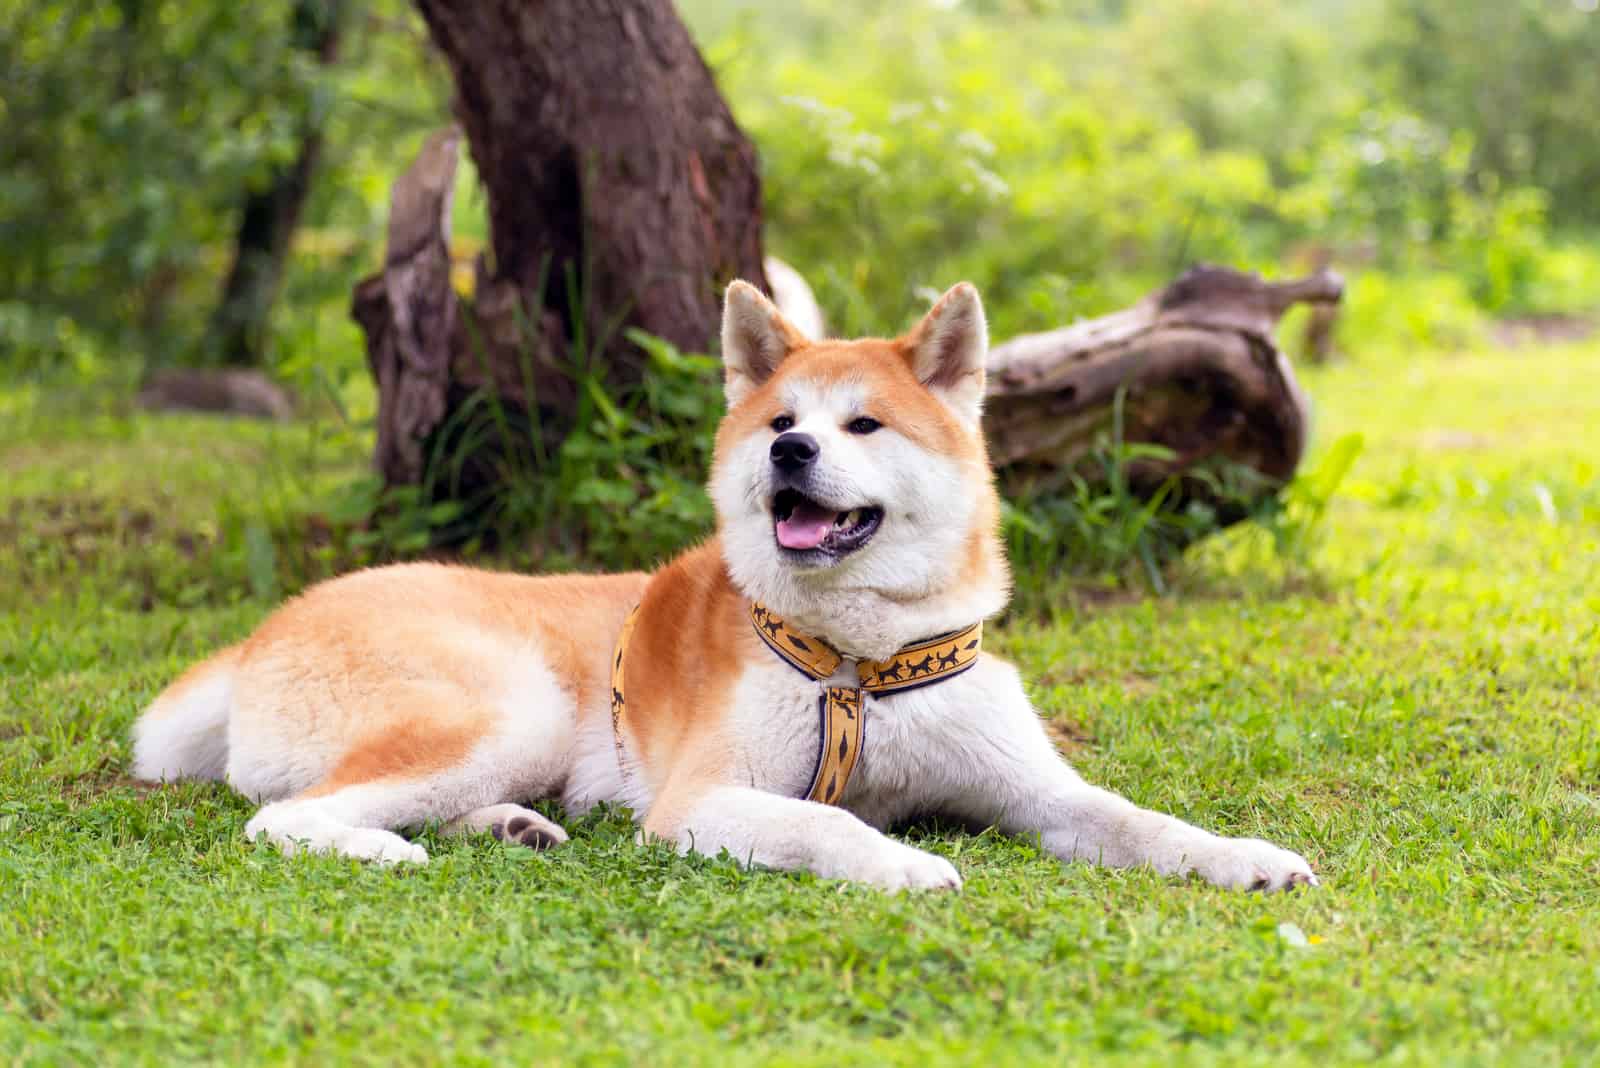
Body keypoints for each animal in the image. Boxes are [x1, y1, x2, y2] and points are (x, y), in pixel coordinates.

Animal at [131, 281, 1318, 895]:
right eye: (782, 419)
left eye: (863, 425)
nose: (790, 451)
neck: (859, 665)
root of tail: (262, 633)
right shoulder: (703, 799)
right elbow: (832, 830)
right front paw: (901, 863)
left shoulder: (1037, 793)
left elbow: (1141, 821)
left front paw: (1243, 859)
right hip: (510, 708)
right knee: (285, 818)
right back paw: (388, 847)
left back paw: (510, 828)